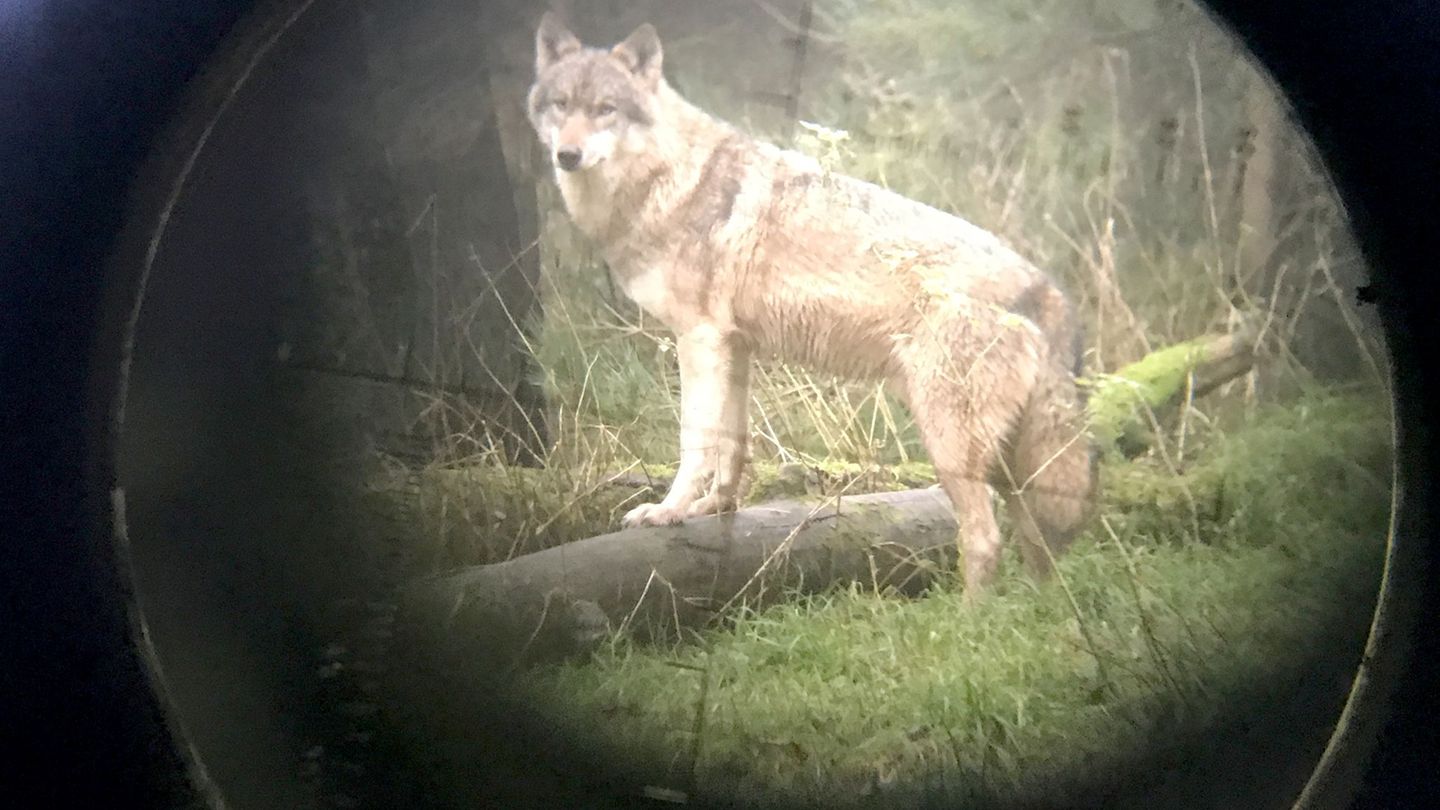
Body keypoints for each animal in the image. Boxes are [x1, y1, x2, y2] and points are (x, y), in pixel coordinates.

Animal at [527, 13, 1096, 596]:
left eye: (605, 109)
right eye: (561, 105)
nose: (567, 156)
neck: (667, 179)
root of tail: (1046, 288)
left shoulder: (699, 339)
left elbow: (696, 443)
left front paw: (668, 512)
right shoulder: (735, 347)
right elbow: (733, 444)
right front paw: (715, 508)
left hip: (950, 447)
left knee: (986, 540)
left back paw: (970, 617)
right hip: (1006, 465)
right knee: (1039, 546)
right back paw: (1035, 610)